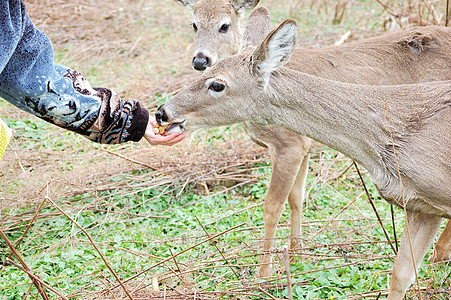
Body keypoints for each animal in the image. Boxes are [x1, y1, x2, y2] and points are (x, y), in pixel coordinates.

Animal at [155, 19, 451, 300]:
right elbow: (400, 276)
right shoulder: (420, 207)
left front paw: (264, 274)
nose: (162, 112)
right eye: (206, 70)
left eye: (217, 84)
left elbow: (273, 206)